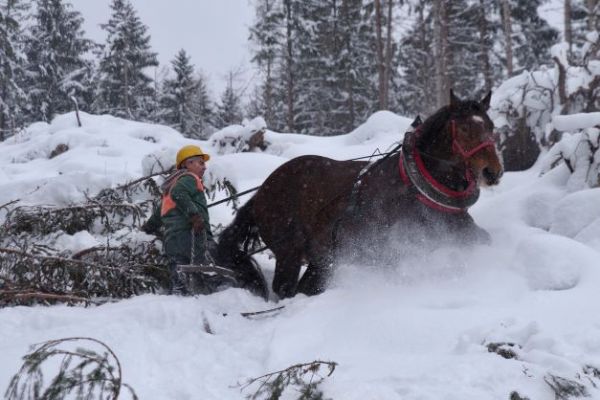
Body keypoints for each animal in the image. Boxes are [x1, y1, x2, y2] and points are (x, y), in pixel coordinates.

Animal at [216, 90, 502, 296]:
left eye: (490, 126)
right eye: (463, 128)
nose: (492, 172)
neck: (416, 188)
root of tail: (262, 193)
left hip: (320, 259)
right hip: (290, 253)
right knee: (285, 289)